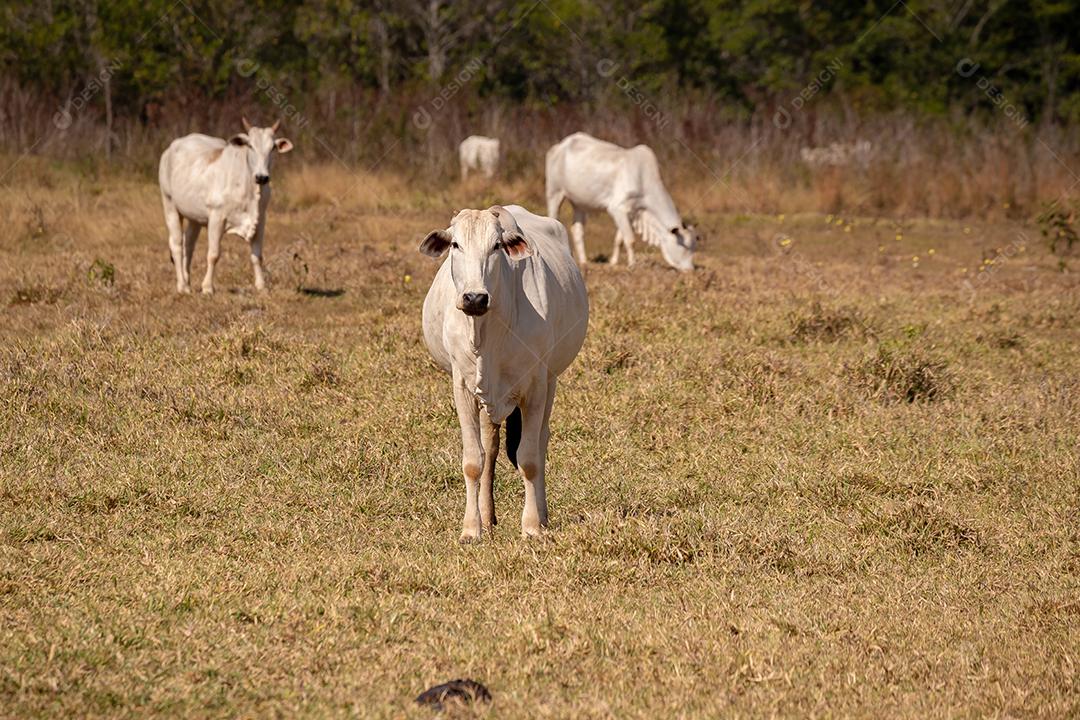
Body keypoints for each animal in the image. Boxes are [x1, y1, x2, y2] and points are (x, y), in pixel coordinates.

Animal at [158, 117, 293, 294]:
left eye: (273, 148)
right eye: (250, 145)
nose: (262, 177)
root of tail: (170, 149)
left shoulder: (261, 220)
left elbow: (257, 256)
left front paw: (261, 286)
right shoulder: (217, 218)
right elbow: (214, 254)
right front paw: (207, 287)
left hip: (194, 217)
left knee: (189, 245)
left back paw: (187, 281)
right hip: (169, 205)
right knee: (176, 245)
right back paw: (182, 286)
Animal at [420, 204, 588, 542]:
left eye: (497, 246)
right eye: (455, 244)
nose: (474, 298)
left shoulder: (536, 387)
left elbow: (529, 459)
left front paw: (532, 526)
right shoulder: (463, 387)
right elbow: (475, 460)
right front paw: (471, 528)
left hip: (550, 381)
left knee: (540, 442)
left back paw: (543, 515)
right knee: (491, 449)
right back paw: (488, 516)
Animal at [545, 132, 697, 272]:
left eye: (694, 247)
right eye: (685, 247)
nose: (690, 269)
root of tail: (560, 146)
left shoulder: (630, 212)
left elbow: (619, 239)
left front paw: (613, 262)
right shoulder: (617, 208)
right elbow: (630, 240)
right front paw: (633, 264)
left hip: (579, 204)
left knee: (577, 230)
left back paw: (583, 262)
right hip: (554, 193)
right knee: (553, 218)